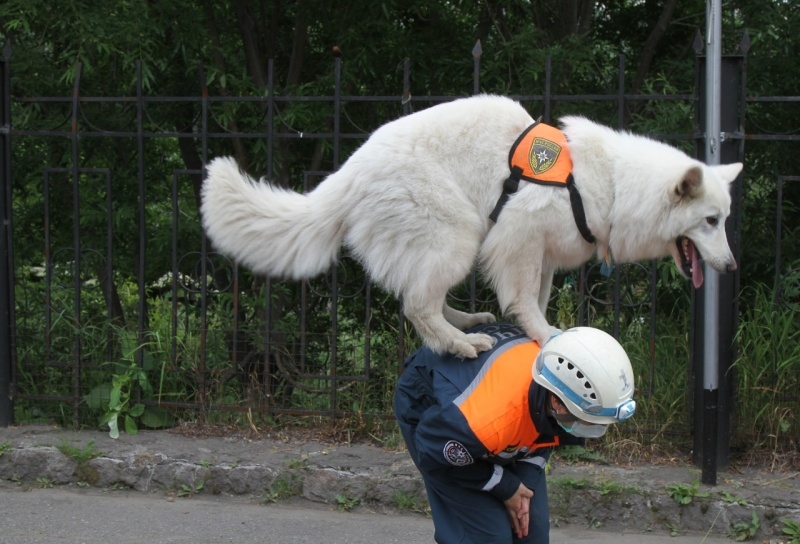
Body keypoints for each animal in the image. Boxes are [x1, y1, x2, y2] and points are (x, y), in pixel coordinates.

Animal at [200, 94, 744, 356]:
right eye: (710, 220)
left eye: (724, 221)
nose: (733, 268)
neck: (608, 182)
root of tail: (349, 170)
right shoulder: (518, 237)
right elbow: (525, 301)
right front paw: (546, 335)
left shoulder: (543, 255)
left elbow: (535, 298)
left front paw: (534, 328)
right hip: (460, 235)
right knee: (417, 306)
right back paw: (459, 344)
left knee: (418, 298)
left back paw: (465, 324)